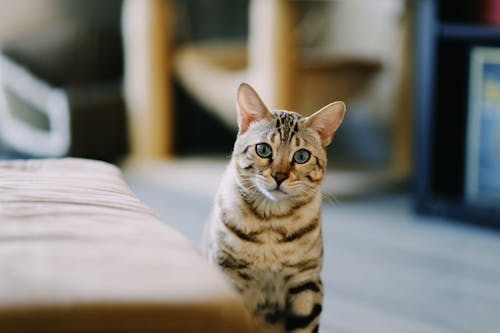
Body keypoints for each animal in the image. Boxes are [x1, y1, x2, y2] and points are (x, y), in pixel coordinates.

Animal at [203, 83, 344, 332]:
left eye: (301, 155)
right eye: (264, 149)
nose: (280, 176)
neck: (271, 221)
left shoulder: (307, 283)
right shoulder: (226, 274)